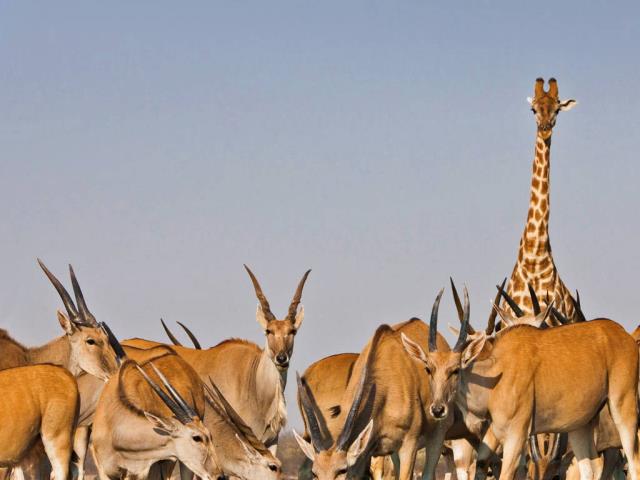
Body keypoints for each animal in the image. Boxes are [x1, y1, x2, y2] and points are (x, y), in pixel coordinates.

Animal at [402, 283, 640, 480]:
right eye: (428, 369)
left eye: (455, 370)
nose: (437, 409)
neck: (496, 375)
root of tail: (623, 335)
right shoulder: (493, 436)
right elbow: (482, 465)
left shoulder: (517, 437)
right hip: (580, 427)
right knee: (589, 470)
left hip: (622, 409)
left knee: (633, 462)